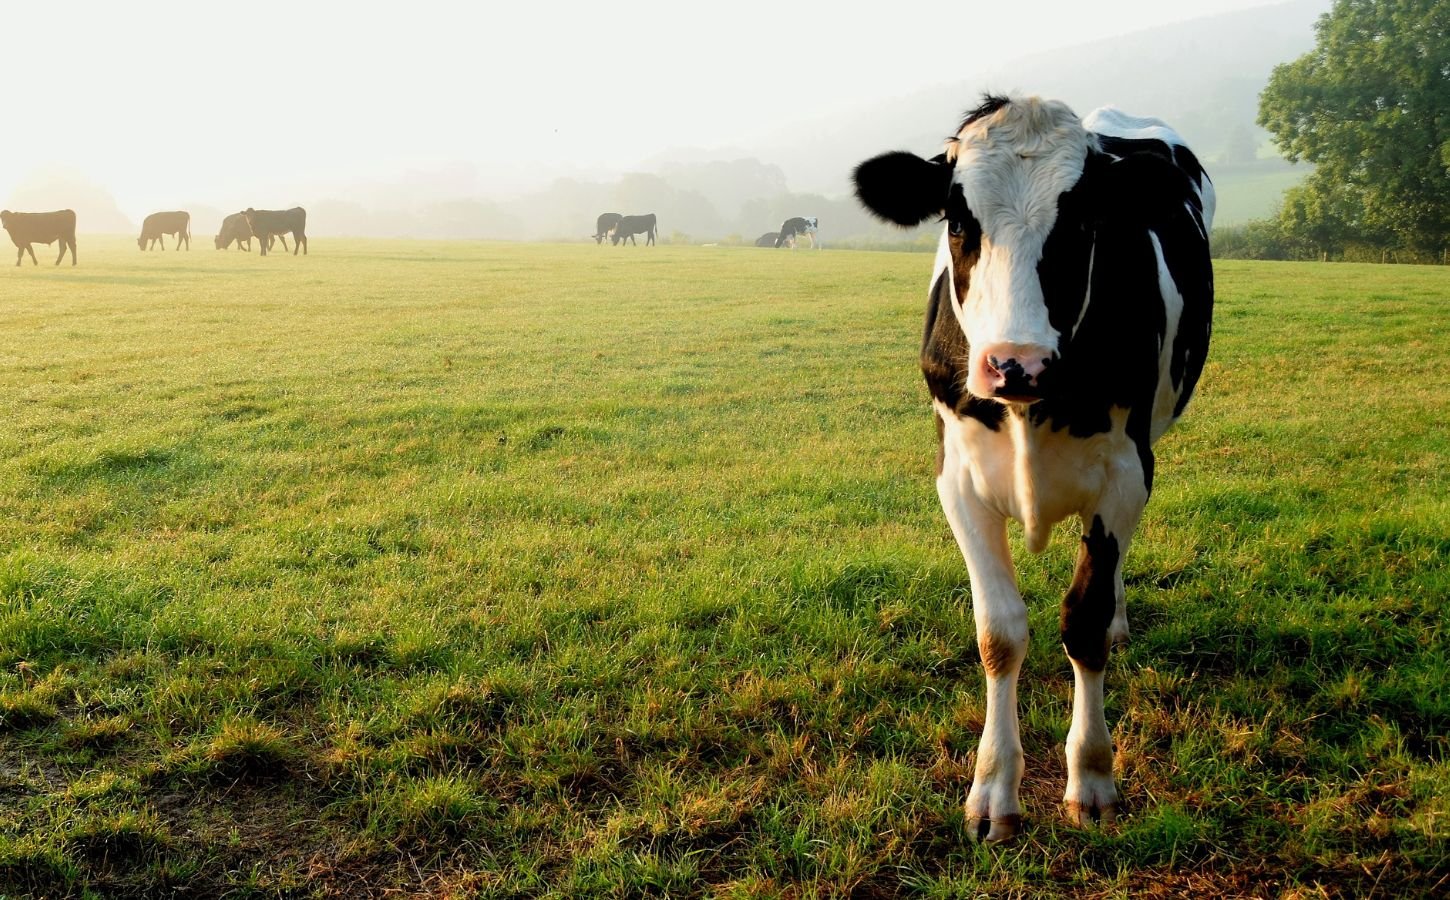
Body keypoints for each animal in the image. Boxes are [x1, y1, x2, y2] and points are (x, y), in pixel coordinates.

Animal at [846, 96, 1212, 840]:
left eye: (1085, 221)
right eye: (958, 220)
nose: (1017, 363)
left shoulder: (1127, 472)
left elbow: (1084, 620)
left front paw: (1092, 777)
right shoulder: (957, 479)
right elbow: (1000, 634)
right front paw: (993, 787)